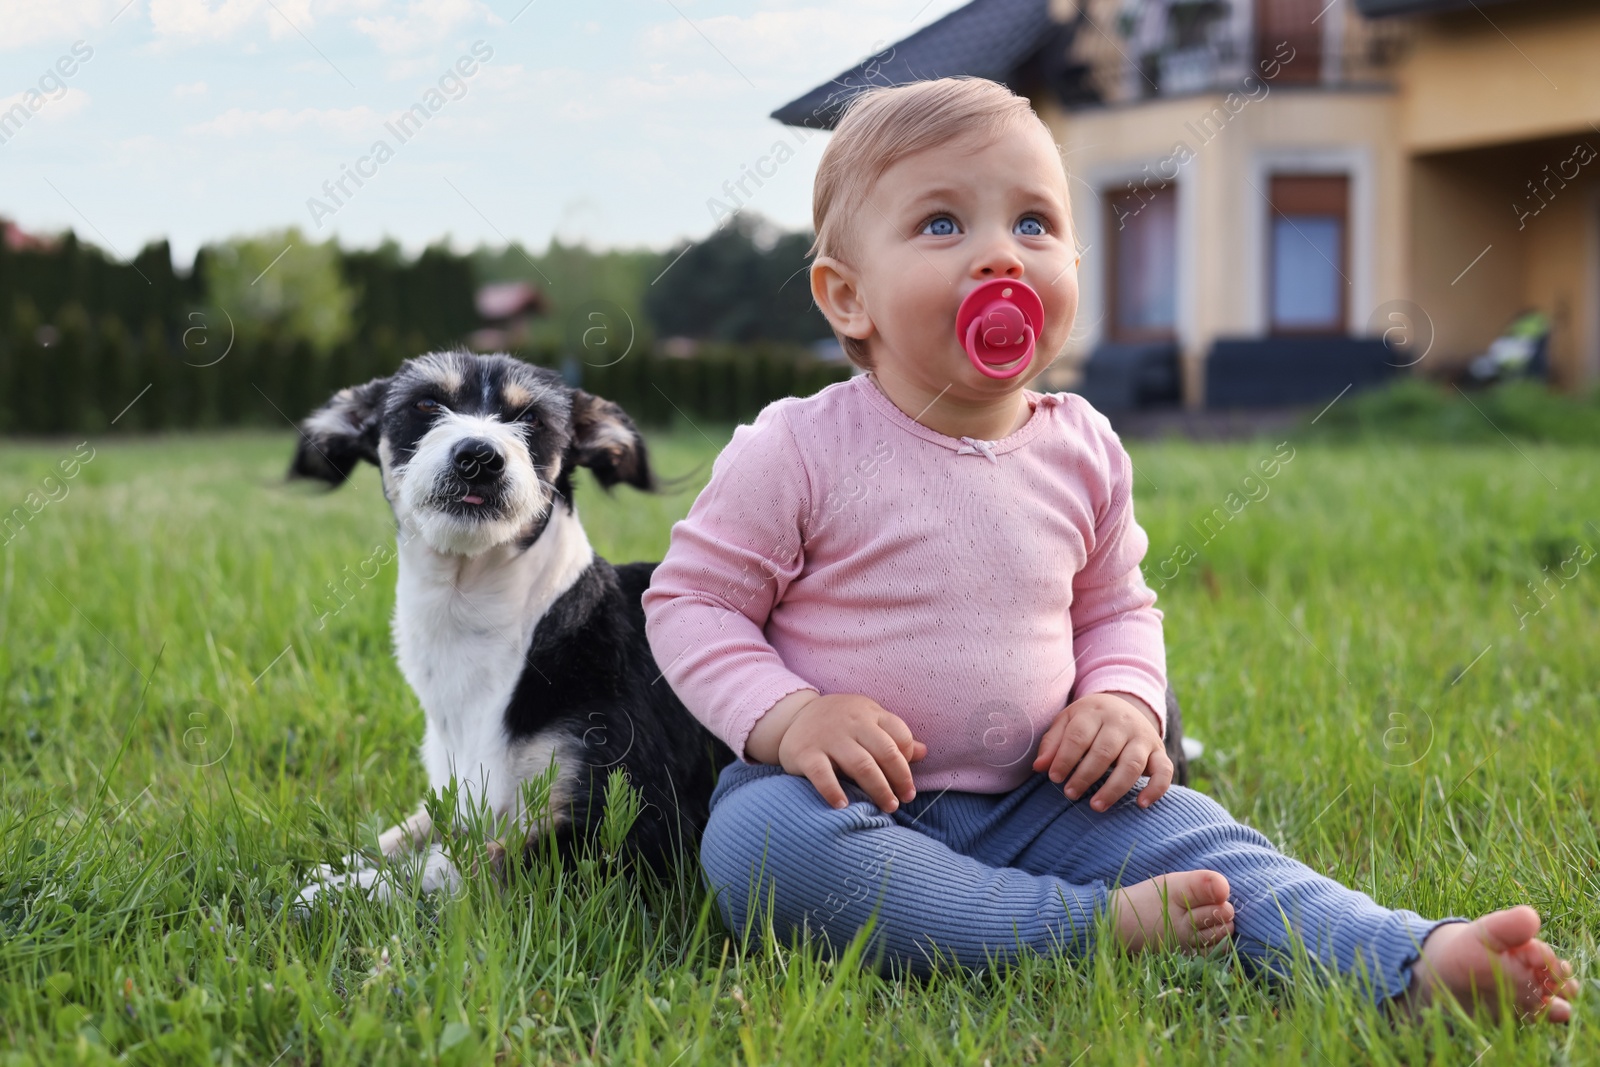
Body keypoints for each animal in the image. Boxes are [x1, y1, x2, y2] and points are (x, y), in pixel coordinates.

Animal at [289, 355, 732, 908]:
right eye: (426, 404)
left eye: (533, 419)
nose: (479, 456)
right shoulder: (459, 798)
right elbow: (399, 833)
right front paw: (336, 867)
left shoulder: (637, 828)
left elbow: (467, 864)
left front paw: (346, 891)